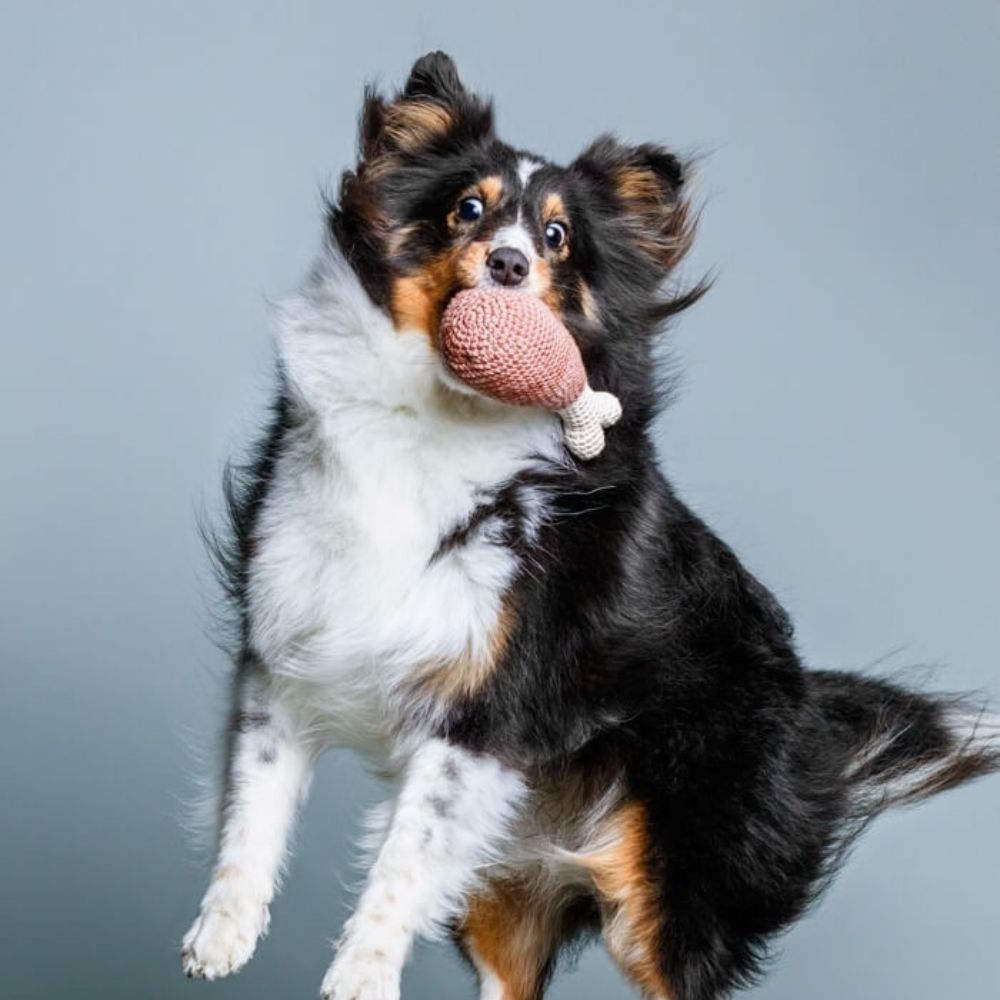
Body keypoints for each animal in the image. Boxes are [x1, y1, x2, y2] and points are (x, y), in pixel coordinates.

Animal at [182, 50, 1000, 996]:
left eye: (557, 238)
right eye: (468, 210)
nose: (506, 267)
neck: (439, 416)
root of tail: (814, 717)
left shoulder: (488, 717)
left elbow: (399, 865)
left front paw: (362, 973)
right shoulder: (287, 651)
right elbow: (253, 808)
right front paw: (223, 932)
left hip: (666, 903)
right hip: (504, 892)